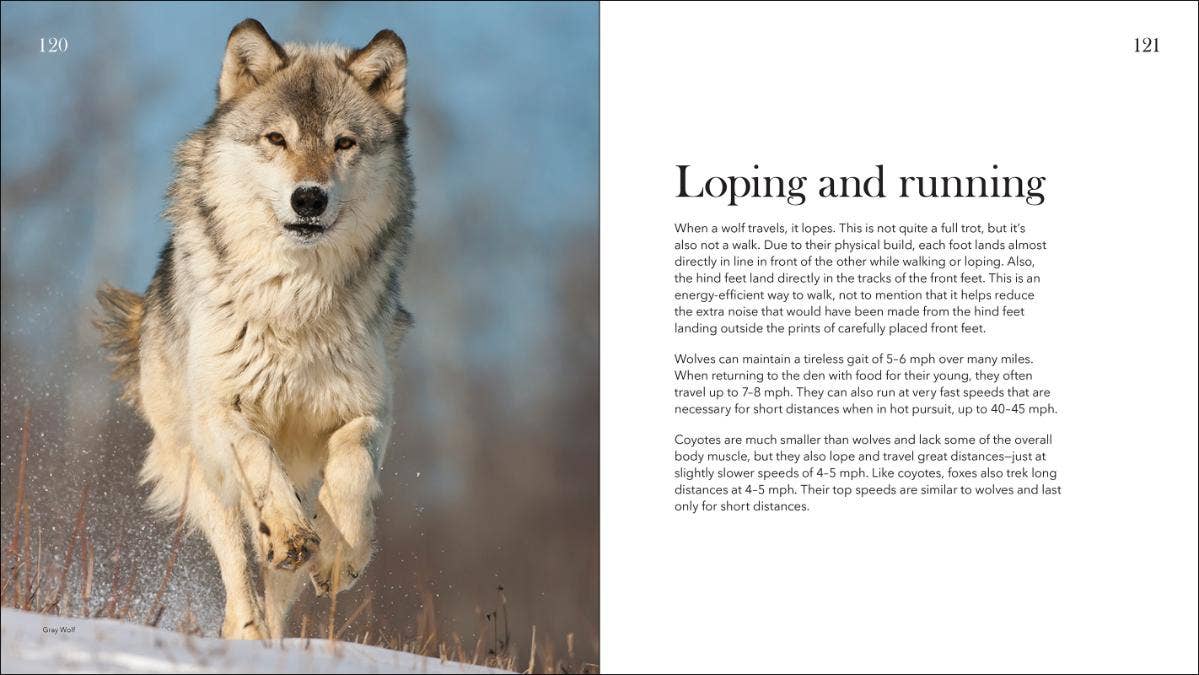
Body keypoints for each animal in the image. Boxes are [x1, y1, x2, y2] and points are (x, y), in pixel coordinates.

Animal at [93, 19, 413, 640]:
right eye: (276, 139)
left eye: (343, 143)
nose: (309, 198)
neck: (295, 303)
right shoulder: (222, 409)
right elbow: (258, 460)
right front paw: (286, 531)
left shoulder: (369, 411)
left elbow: (353, 469)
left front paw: (343, 556)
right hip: (200, 473)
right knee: (239, 561)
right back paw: (248, 630)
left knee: (282, 580)